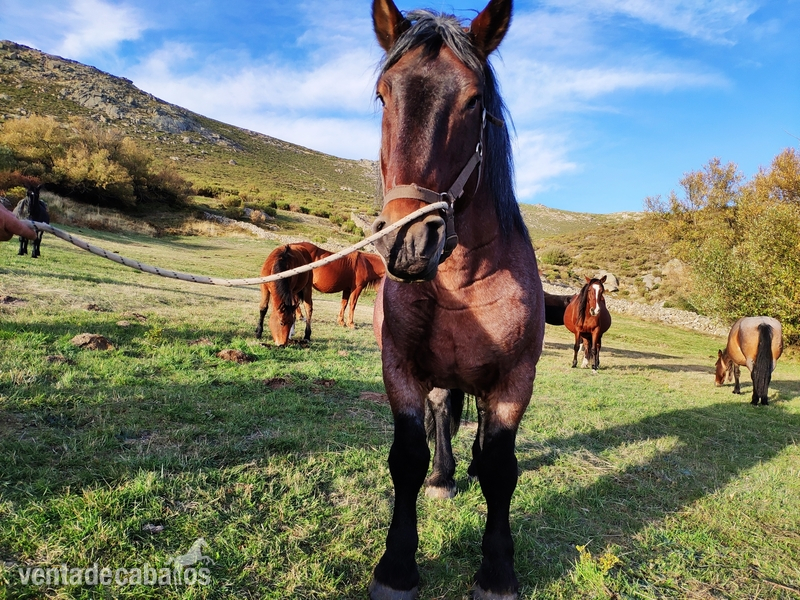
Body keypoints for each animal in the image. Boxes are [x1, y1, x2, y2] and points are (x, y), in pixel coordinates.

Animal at [368, 1, 544, 598]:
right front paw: (396, 568)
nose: (408, 241)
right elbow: (408, 457)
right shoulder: (399, 368)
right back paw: (445, 476)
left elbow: (500, 467)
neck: (463, 282)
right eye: (384, 95)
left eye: (473, 101)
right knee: (444, 411)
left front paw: (497, 572)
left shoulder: (514, 382)